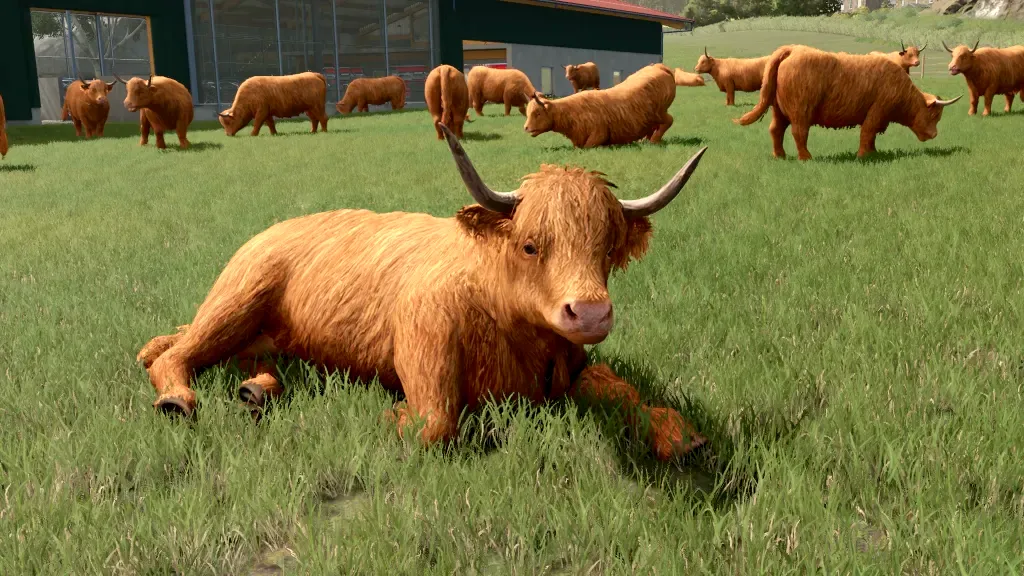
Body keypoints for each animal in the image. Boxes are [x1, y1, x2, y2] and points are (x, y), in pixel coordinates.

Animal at [135, 123, 709, 462]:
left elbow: (625, 391)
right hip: (238, 299)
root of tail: (273, 230)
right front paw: (392, 416)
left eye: (608, 249)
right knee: (177, 355)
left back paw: (255, 389)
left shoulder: (576, 366)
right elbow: (434, 423)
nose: (589, 313)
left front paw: (679, 435)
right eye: (530, 245)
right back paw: (178, 399)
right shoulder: (422, 341)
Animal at [523, 63, 676, 148]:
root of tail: (658, 67)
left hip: (659, 113)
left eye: (537, 113)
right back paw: (645, 140)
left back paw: (654, 141)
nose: (525, 128)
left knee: (668, 121)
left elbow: (589, 146)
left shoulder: (599, 133)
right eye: (527, 113)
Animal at [734, 45, 961, 161]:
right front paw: (862, 156)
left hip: (778, 110)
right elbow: (867, 132)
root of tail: (792, 49)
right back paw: (806, 157)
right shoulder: (877, 110)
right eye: (934, 115)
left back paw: (779, 156)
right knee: (799, 132)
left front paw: (873, 153)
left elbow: (871, 137)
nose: (934, 135)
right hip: (801, 110)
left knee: (775, 130)